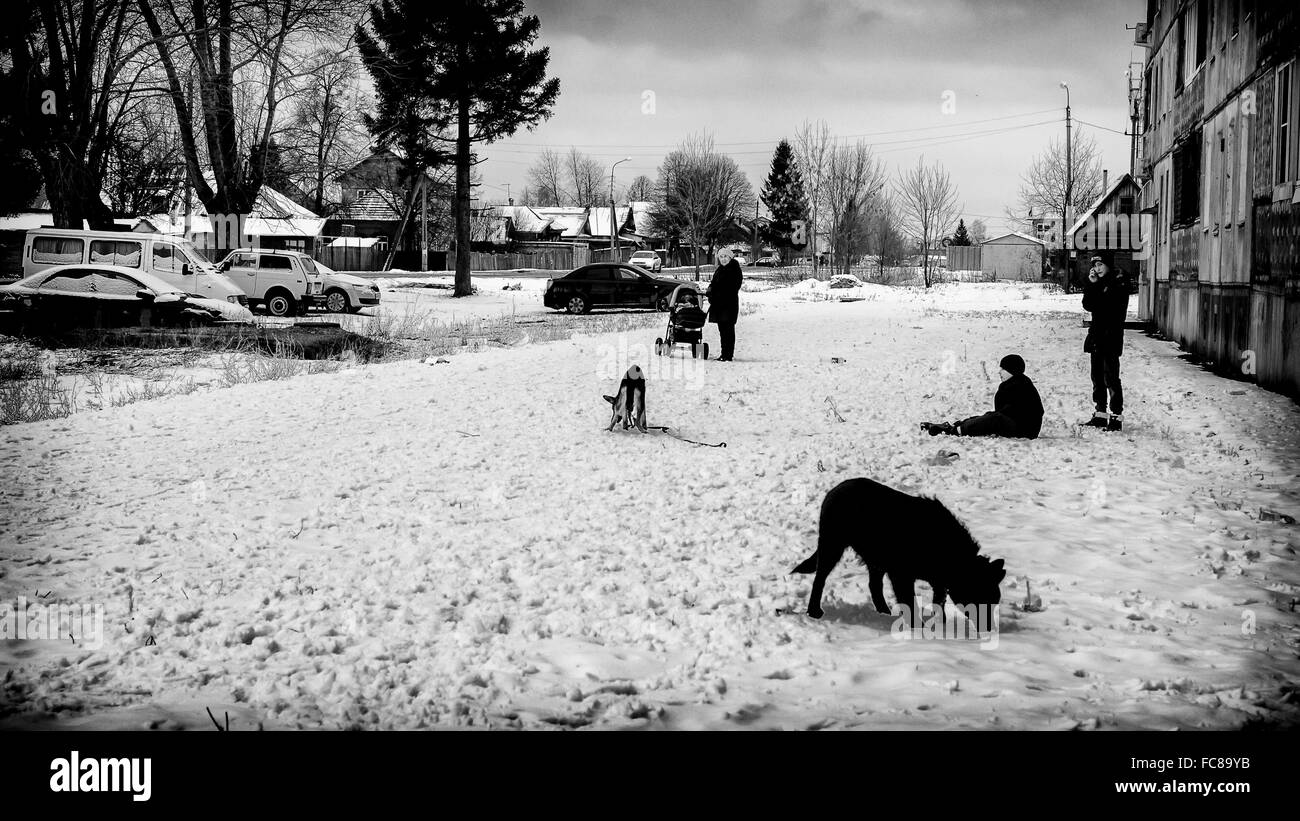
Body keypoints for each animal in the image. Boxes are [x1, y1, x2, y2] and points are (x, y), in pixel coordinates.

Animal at [790, 475, 1003, 620]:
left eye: (995, 601)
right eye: (982, 597)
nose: (989, 630)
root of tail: (834, 490)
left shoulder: (937, 582)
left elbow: (938, 603)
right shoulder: (901, 576)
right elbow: (910, 603)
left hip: (874, 558)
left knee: (874, 586)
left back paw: (884, 613)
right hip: (833, 546)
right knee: (820, 578)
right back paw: (814, 611)